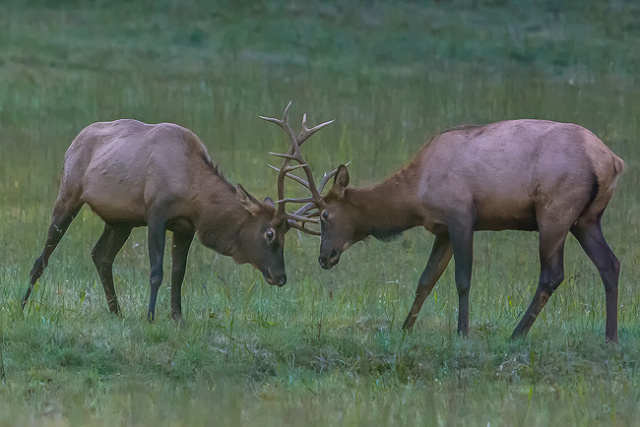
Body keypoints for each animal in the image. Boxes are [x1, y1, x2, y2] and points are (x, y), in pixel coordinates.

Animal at [22, 113, 328, 320]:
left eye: (287, 234)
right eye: (269, 233)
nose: (281, 277)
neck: (192, 193)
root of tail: (73, 142)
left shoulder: (185, 227)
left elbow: (178, 273)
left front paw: (178, 318)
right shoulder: (156, 214)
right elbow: (156, 272)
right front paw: (150, 317)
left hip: (120, 221)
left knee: (100, 255)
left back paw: (116, 312)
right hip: (69, 193)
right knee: (42, 256)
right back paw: (23, 304)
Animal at [282, 118, 624, 344]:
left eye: (325, 214)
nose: (324, 258)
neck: (416, 194)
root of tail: (613, 160)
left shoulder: (461, 216)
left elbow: (462, 280)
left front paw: (462, 332)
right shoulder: (442, 230)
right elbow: (425, 280)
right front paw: (405, 328)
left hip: (555, 211)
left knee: (552, 274)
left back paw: (516, 335)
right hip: (587, 219)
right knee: (610, 264)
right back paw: (610, 336)